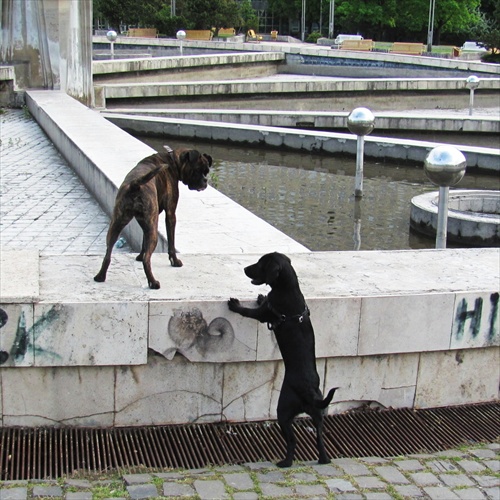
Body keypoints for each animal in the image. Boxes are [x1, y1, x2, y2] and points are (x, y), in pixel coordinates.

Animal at [94, 147, 212, 290]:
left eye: (206, 171)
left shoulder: (145, 223)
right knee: (147, 260)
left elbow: (144, 242)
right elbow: (171, 242)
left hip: (117, 224)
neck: (173, 161)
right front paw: (175, 261)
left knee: (108, 253)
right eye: (199, 170)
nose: (205, 181)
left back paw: (100, 276)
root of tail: (135, 184)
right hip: (153, 230)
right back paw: (153, 282)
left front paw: (139, 255)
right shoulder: (170, 214)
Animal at [229, 252, 338, 466]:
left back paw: (285, 462)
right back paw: (324, 460)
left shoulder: (264, 314)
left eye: (260, 264)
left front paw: (235, 304)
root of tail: (309, 394)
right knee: (320, 439)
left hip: (283, 411)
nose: (245, 269)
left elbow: (248, 311)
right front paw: (261, 296)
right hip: (318, 415)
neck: (289, 288)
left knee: (292, 440)